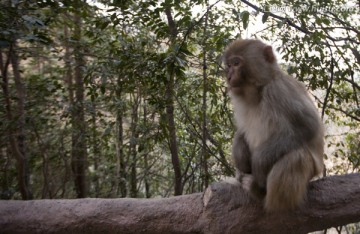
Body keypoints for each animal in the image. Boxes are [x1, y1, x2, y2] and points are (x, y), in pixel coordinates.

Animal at [224, 38, 324, 212]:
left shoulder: (279, 90)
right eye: (229, 65)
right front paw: (239, 152)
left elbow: (308, 125)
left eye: (236, 63)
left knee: (296, 157)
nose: (229, 76)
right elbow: (242, 131)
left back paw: (260, 194)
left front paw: (258, 162)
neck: (259, 89)